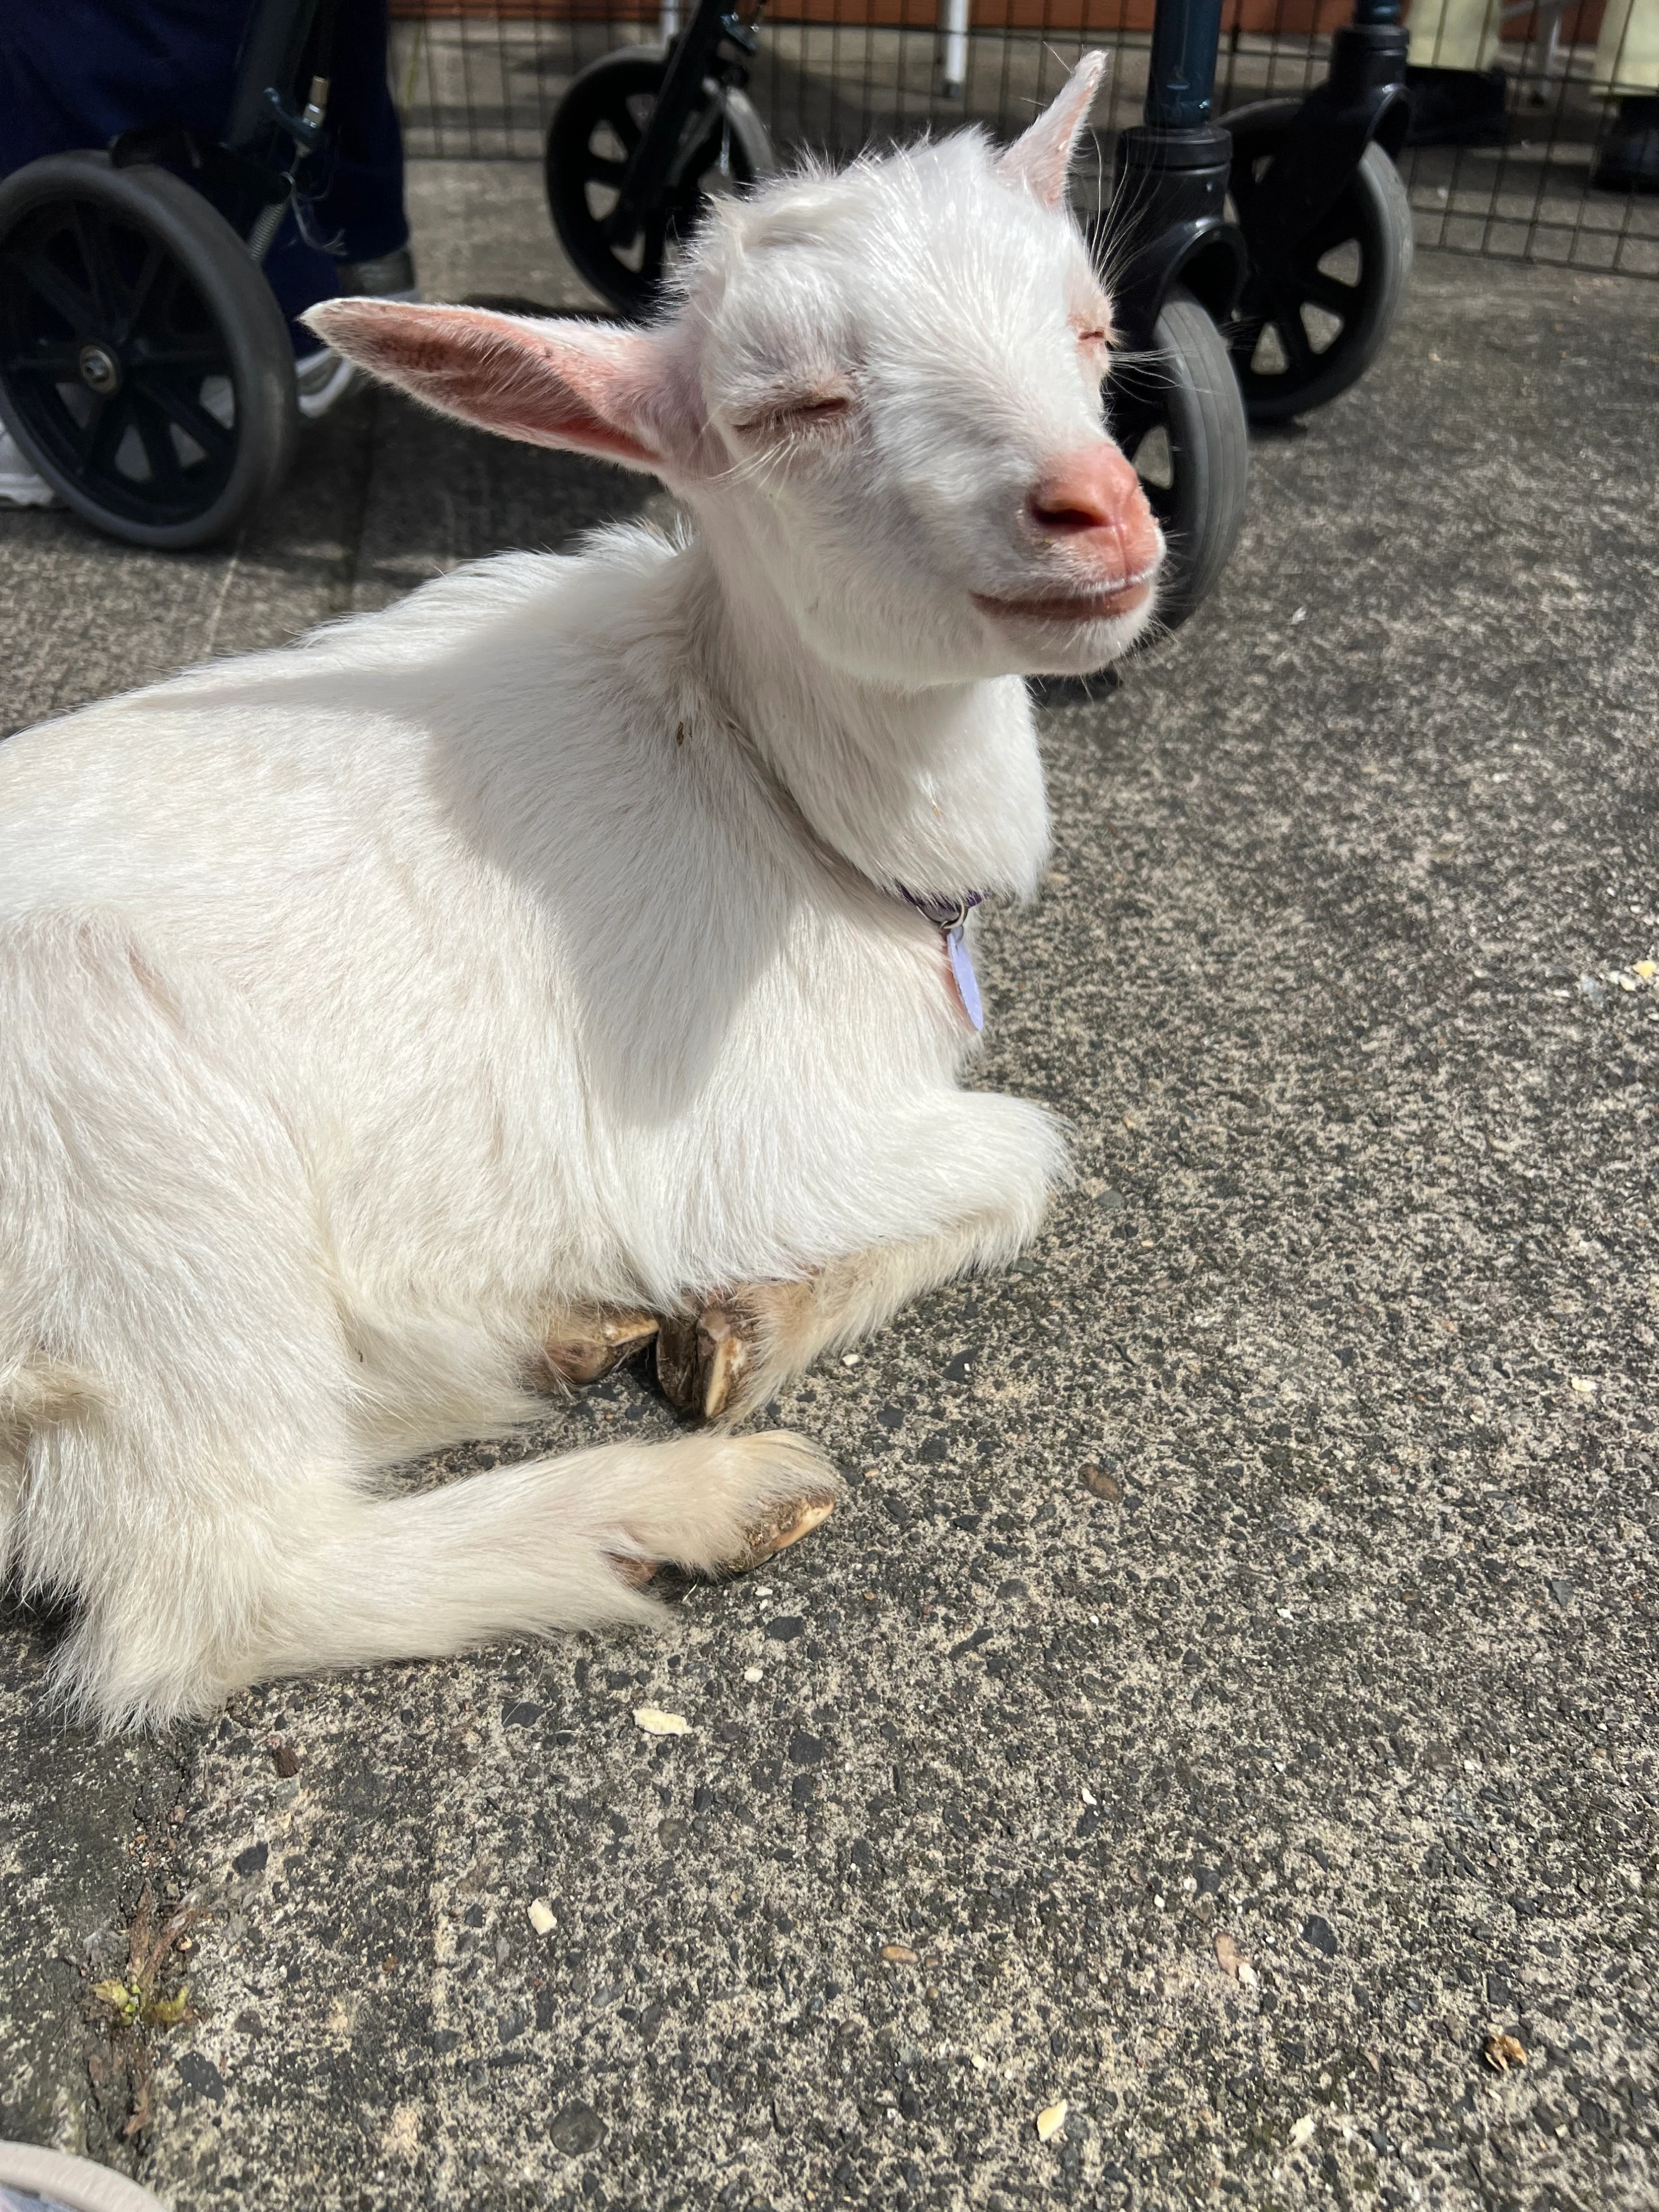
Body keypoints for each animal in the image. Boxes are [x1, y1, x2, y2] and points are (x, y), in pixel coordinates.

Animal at [0, 55, 1162, 1729]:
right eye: (789, 408)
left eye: (1089, 328)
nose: (1101, 510)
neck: (760, 774)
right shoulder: (726, 1139)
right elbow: (1023, 1146)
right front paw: (754, 1321)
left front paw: (732, 1322)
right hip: (124, 1158)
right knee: (209, 1585)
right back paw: (686, 1502)